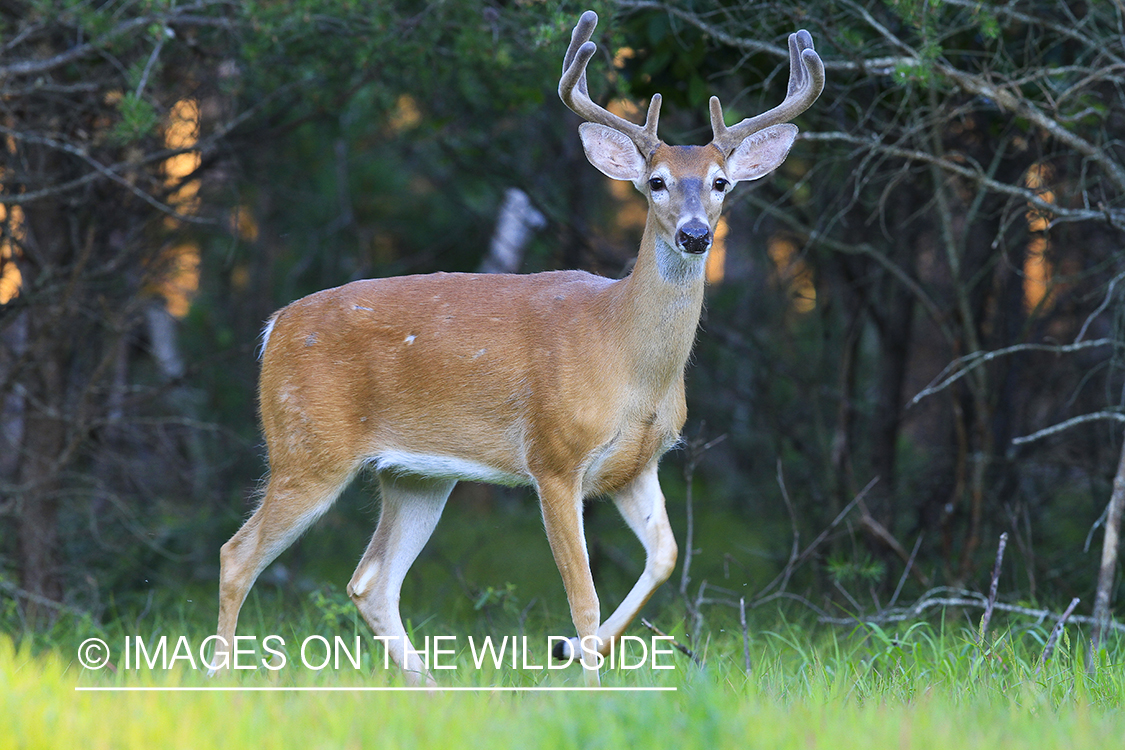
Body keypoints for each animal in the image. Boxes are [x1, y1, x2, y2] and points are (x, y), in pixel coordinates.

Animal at [214, 10, 823, 688]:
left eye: (720, 182)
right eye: (656, 182)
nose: (695, 235)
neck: (627, 356)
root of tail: (275, 328)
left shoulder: (638, 464)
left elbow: (663, 557)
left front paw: (574, 652)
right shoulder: (554, 455)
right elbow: (583, 595)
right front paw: (587, 678)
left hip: (414, 474)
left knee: (370, 582)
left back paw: (432, 690)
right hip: (308, 444)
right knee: (237, 554)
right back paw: (221, 678)